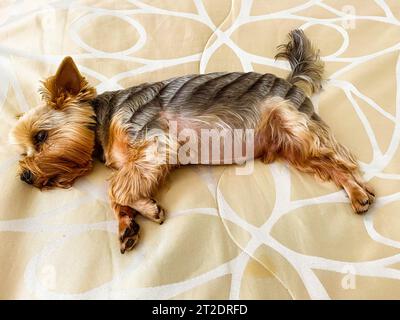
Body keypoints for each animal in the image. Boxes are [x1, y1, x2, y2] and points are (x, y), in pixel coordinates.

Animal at [10, 31, 376, 254]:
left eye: (41, 136)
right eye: (24, 151)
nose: (25, 176)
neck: (102, 120)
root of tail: (290, 80)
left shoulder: (155, 142)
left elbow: (116, 186)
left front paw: (146, 208)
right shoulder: (141, 161)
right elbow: (121, 188)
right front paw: (128, 223)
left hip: (296, 124)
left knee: (342, 159)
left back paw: (361, 191)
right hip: (293, 148)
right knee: (327, 164)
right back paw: (357, 195)